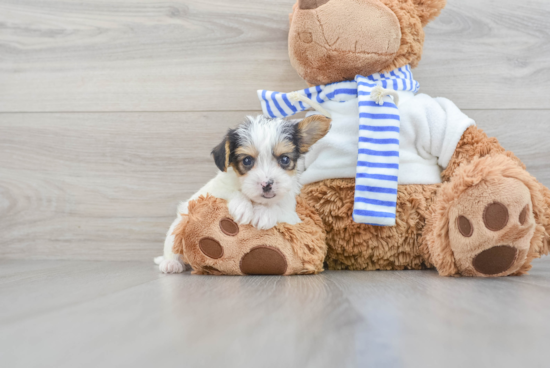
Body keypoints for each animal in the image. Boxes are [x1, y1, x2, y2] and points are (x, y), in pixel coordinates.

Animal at [155, 115, 332, 274]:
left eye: (285, 159)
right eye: (247, 161)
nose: (267, 184)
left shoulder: (291, 215)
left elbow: (277, 207)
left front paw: (264, 213)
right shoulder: (213, 192)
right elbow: (232, 192)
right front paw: (243, 207)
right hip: (177, 227)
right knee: (172, 247)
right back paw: (171, 264)